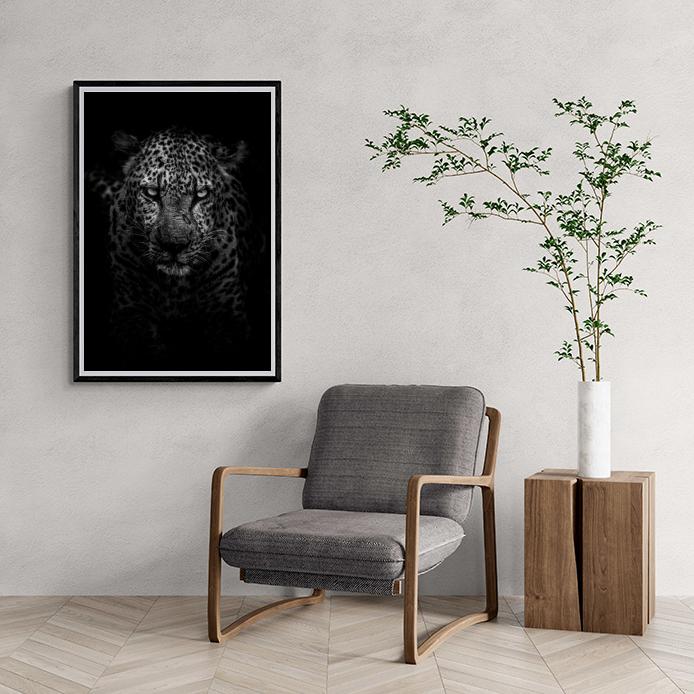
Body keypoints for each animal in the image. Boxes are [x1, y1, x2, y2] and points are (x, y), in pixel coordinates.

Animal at [89, 127, 263, 370]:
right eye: (151, 192)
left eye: (201, 194)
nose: (174, 245)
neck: (175, 287)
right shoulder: (128, 311)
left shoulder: (227, 313)